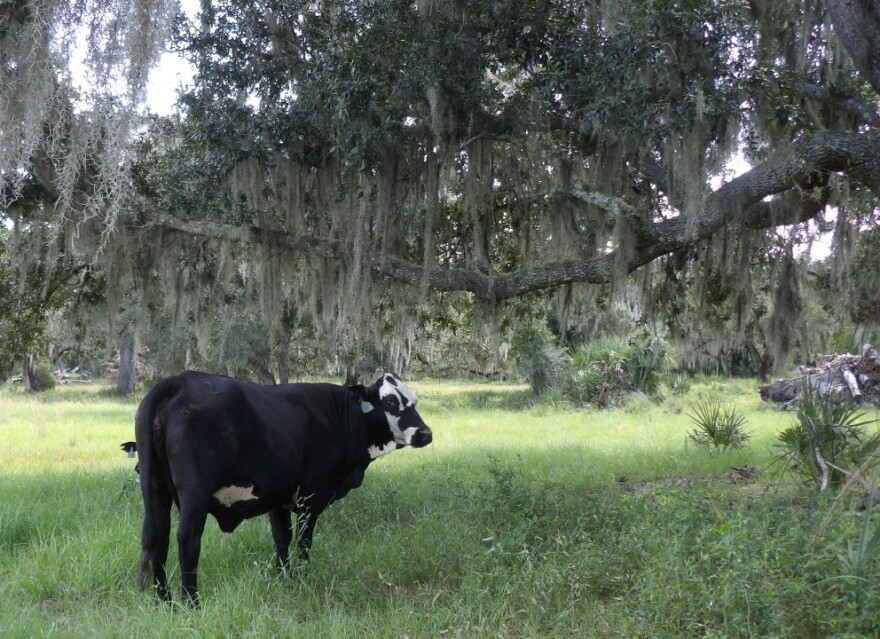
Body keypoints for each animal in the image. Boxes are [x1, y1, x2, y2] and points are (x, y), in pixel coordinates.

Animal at [127, 371, 432, 603]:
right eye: (390, 401)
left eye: (414, 401)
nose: (425, 433)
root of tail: (181, 380)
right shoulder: (312, 497)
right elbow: (303, 541)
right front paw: (303, 577)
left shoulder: (277, 497)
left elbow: (281, 538)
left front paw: (284, 578)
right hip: (194, 496)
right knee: (187, 539)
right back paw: (191, 601)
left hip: (154, 490)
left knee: (158, 538)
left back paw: (164, 600)